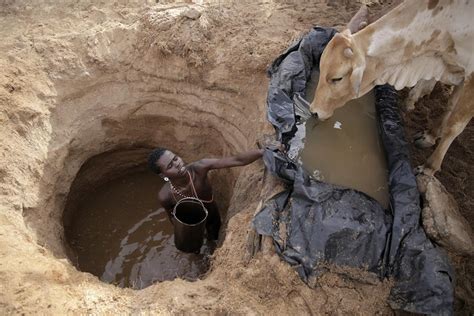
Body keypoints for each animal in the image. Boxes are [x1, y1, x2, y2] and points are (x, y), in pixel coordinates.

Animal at [312, 0, 474, 177]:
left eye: (337, 78)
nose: (314, 111)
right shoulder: (459, 70)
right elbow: (449, 107)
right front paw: (430, 135)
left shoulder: (470, 76)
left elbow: (454, 126)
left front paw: (430, 166)